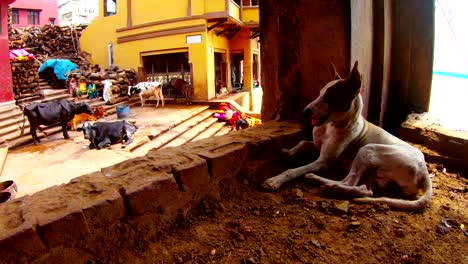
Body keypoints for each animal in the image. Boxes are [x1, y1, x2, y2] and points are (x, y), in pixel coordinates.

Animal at [262, 60, 434, 210]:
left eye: (330, 97)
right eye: (320, 93)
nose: (304, 111)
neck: (330, 126)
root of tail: (423, 169)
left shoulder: (323, 161)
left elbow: (293, 170)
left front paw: (275, 180)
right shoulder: (317, 145)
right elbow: (303, 142)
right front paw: (288, 152)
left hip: (368, 149)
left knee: (349, 181)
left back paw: (323, 182)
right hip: (376, 176)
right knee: (365, 189)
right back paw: (327, 184)